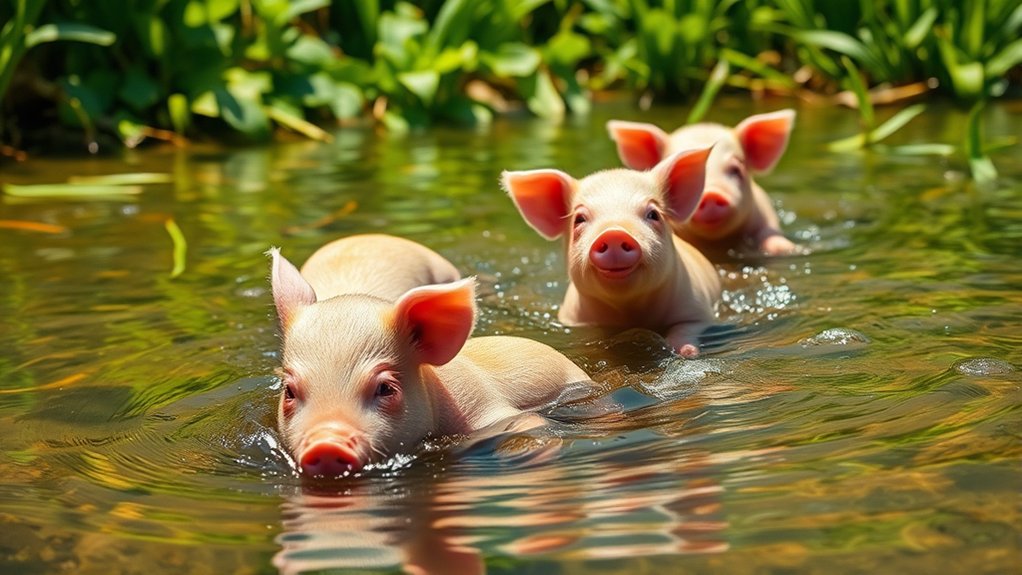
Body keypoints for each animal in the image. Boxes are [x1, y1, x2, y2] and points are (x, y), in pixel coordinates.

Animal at [501, 148, 721, 358]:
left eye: (653, 214)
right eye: (579, 219)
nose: (614, 233)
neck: (628, 311)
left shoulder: (697, 308)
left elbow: (686, 328)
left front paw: (687, 353)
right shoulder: (576, 320)